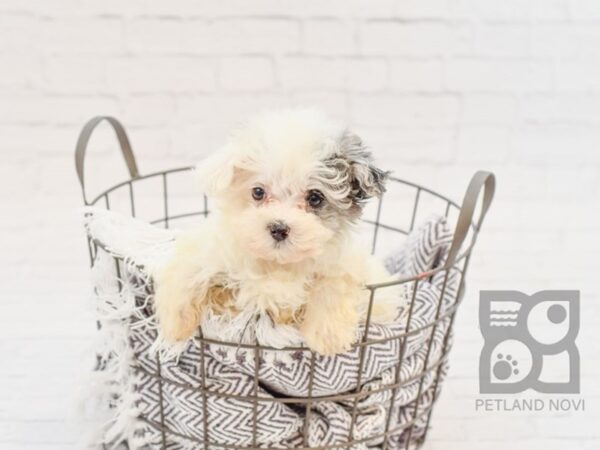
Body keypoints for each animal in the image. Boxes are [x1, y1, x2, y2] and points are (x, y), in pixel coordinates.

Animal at [152, 109, 400, 356]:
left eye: (315, 198)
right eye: (258, 192)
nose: (279, 228)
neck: (277, 263)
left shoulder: (346, 262)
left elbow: (333, 282)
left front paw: (327, 334)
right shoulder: (212, 247)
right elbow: (188, 269)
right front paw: (174, 324)